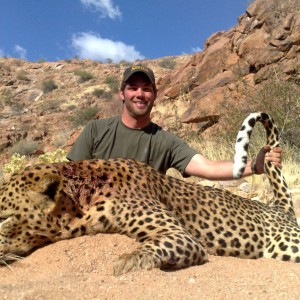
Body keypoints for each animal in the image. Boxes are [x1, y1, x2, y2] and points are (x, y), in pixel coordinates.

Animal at [0, 111, 298, 276]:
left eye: (3, 218)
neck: (82, 199)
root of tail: (279, 207)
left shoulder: (179, 235)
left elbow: (156, 245)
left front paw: (127, 261)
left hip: (287, 242)